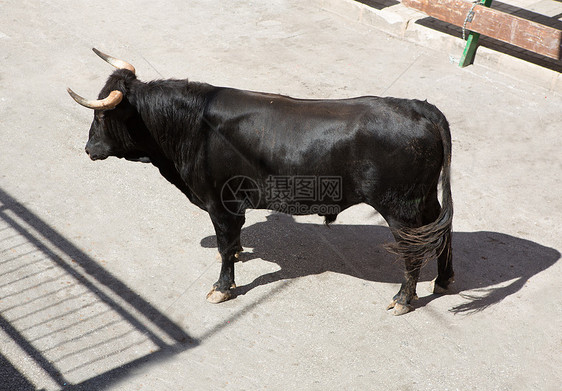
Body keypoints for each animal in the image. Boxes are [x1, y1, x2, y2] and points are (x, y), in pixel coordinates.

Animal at [69, 50, 450, 316]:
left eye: (101, 115)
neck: (192, 125)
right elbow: (231, 241)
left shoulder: (219, 203)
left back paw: (403, 299)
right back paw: (444, 280)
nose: (88, 148)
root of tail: (420, 108)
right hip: (426, 200)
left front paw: (222, 288)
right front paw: (238, 252)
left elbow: (224, 246)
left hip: (400, 209)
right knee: (441, 231)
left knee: (413, 249)